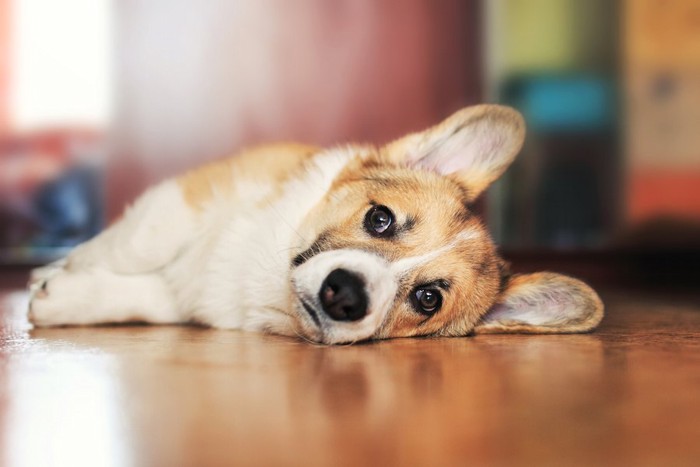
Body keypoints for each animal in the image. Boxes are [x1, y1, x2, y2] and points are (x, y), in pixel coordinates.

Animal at [27, 107, 604, 348]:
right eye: (379, 218)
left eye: (428, 300)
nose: (344, 295)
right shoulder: (189, 198)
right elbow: (133, 248)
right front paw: (56, 272)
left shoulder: (194, 297)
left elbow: (148, 299)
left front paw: (62, 298)